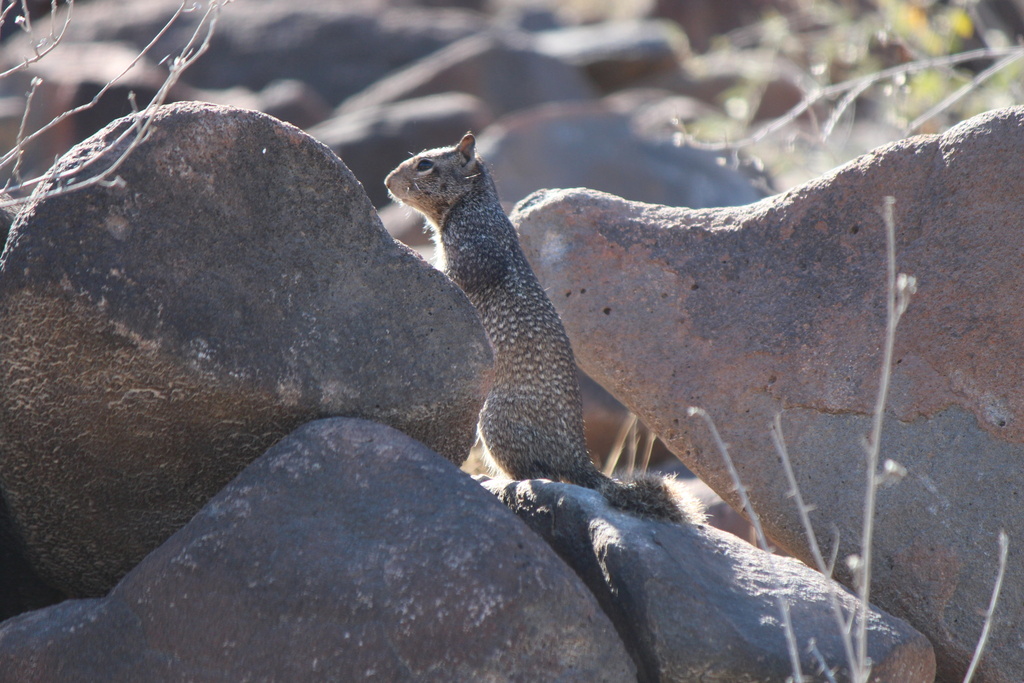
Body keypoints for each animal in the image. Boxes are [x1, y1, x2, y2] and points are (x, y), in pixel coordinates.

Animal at [385, 133, 702, 525]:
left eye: (425, 164)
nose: (386, 182)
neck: (472, 205)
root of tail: (579, 458)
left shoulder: (471, 251)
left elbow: (452, 278)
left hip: (494, 421)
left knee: (532, 472)